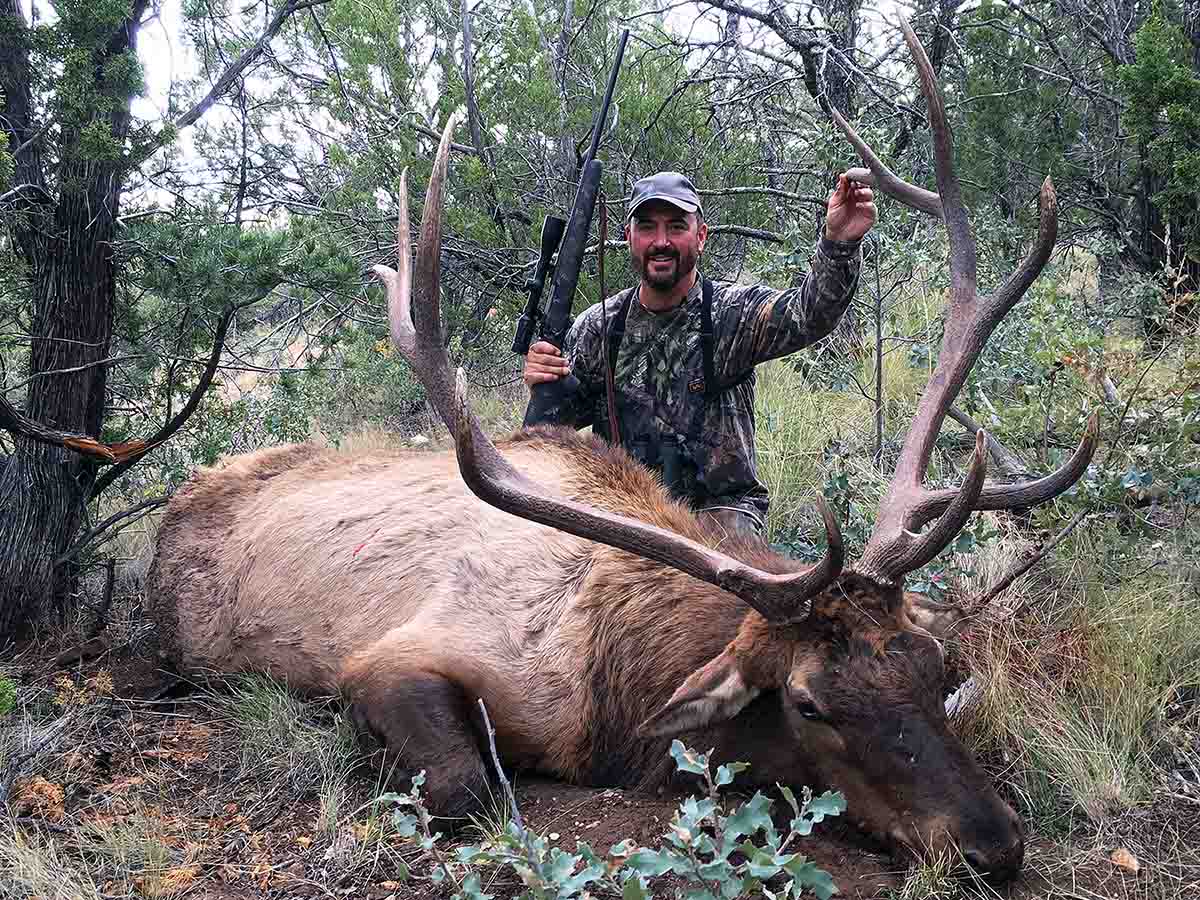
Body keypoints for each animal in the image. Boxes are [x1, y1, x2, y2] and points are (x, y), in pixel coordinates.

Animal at [142, 21, 1099, 888]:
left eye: (932, 667)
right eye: (809, 703)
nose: (994, 844)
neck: (613, 685)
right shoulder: (389, 657)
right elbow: (463, 787)